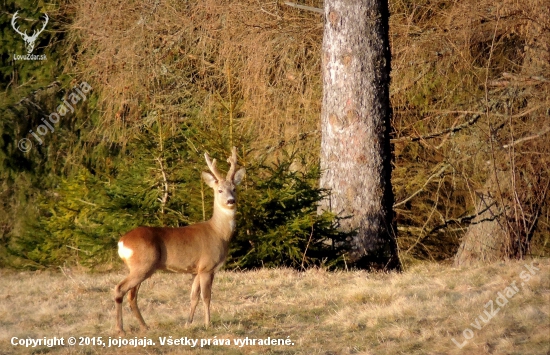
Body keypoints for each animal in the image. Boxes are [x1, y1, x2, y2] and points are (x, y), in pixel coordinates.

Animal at [114, 146, 246, 336]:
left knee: (132, 295)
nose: (231, 201)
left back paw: (145, 326)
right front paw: (208, 324)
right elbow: (206, 297)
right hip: (143, 264)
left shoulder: (196, 270)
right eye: (219, 190)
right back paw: (120, 330)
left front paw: (188, 323)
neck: (218, 233)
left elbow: (193, 296)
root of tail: (122, 242)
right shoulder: (207, 267)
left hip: (139, 267)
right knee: (120, 289)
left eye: (234, 188)